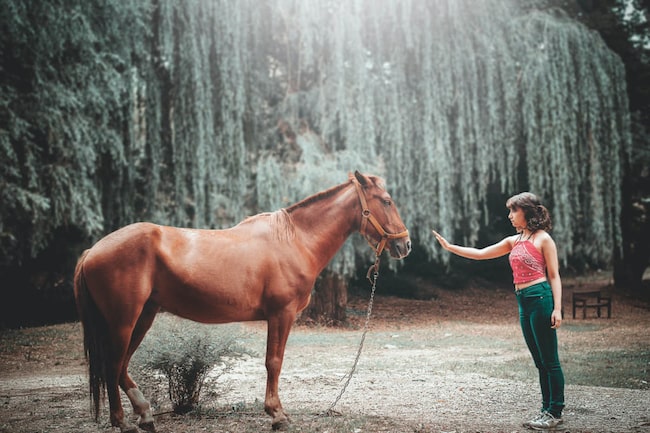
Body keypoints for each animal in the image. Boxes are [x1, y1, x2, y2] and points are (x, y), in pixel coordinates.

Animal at [73, 170, 408, 430]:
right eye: (387, 201)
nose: (405, 245)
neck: (295, 240)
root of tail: (92, 250)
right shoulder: (281, 314)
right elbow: (274, 362)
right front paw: (277, 415)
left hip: (143, 316)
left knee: (121, 365)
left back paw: (144, 415)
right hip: (123, 321)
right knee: (113, 365)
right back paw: (123, 422)